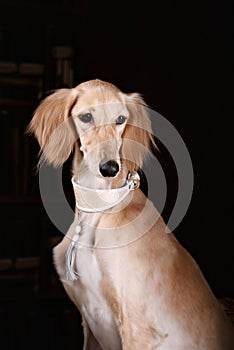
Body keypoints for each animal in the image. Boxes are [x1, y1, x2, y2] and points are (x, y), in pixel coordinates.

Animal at [27, 80, 234, 350]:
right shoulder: (89, 325)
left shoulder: (139, 326)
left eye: (120, 119)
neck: (100, 209)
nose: (110, 168)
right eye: (86, 117)